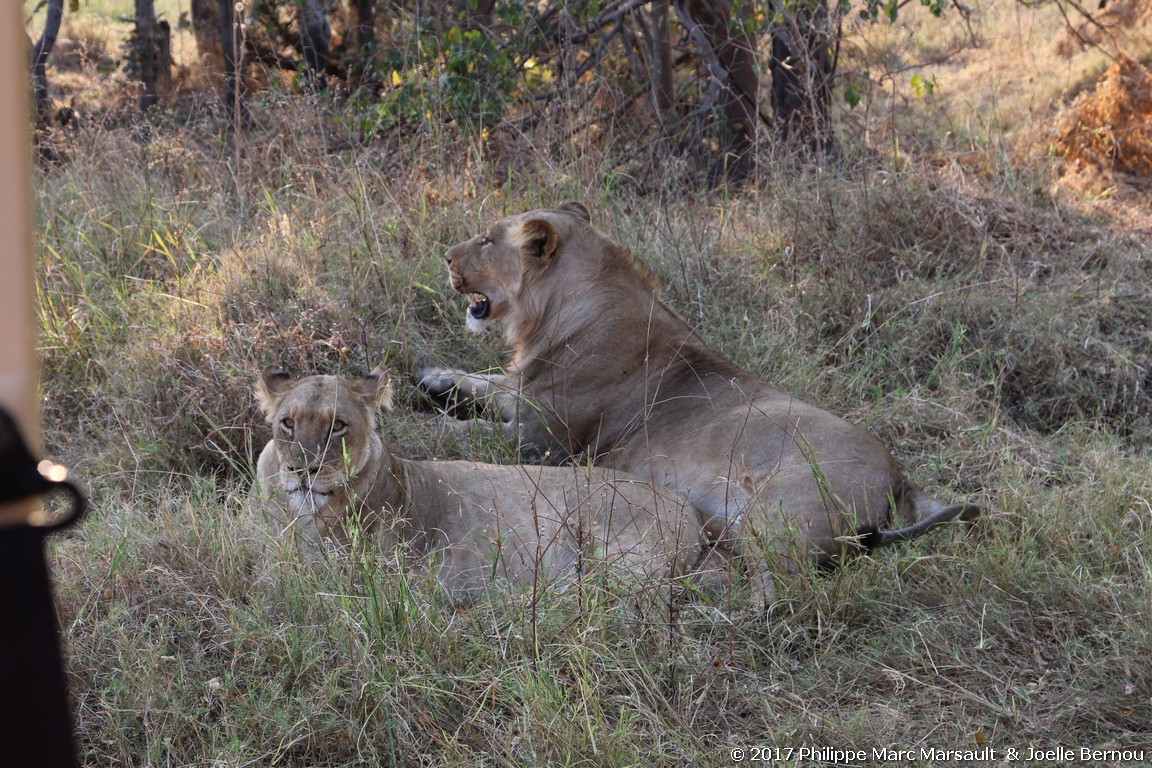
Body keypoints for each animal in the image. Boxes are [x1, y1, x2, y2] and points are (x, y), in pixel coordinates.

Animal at [419, 201, 976, 573]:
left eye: (487, 240)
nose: (444, 256)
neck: (553, 315)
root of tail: (902, 477)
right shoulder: (522, 391)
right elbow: (487, 381)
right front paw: (435, 378)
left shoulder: (542, 442)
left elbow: (458, 435)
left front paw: (425, 420)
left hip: (781, 511)